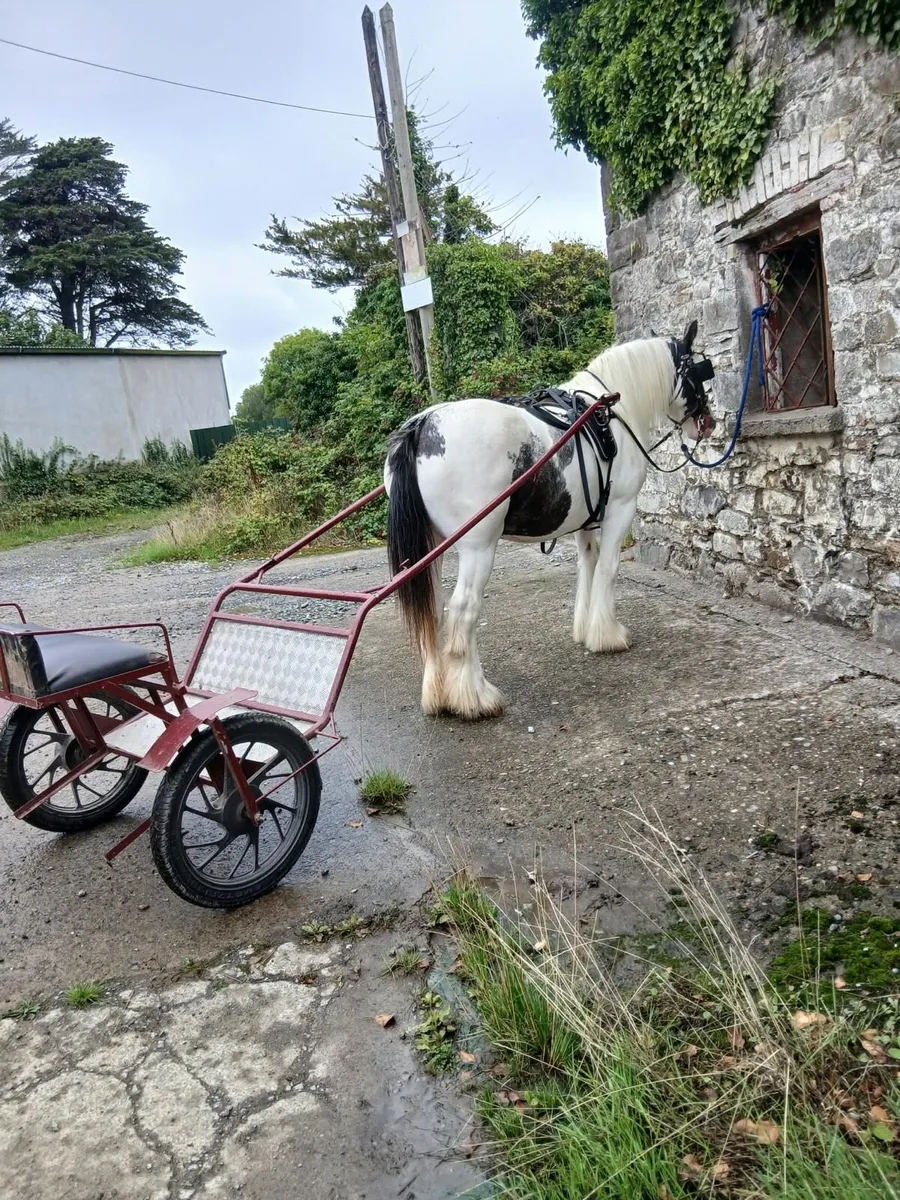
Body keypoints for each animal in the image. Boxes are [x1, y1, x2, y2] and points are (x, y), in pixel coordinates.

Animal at [384, 321, 716, 720]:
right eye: (699, 371)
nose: (709, 423)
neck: (610, 413)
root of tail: (422, 425)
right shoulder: (620, 508)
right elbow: (608, 569)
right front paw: (608, 635)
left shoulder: (587, 519)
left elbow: (588, 566)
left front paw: (586, 629)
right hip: (478, 546)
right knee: (463, 610)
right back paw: (475, 697)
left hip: (429, 549)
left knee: (431, 611)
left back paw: (437, 694)